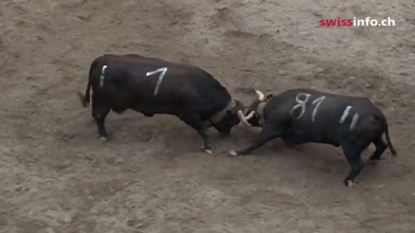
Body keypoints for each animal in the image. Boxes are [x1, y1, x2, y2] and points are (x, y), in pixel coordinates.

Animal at [76, 53, 245, 154]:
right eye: (232, 121)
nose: (227, 135)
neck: (205, 91)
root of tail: (103, 59)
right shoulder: (189, 115)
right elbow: (203, 129)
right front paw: (208, 147)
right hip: (103, 100)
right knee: (99, 116)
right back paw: (103, 135)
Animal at [232, 88, 398, 187]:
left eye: (252, 112)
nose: (244, 112)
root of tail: (377, 114)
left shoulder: (271, 127)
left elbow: (256, 142)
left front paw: (238, 151)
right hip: (375, 137)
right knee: (381, 146)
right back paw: (373, 159)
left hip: (350, 147)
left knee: (358, 164)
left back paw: (348, 181)